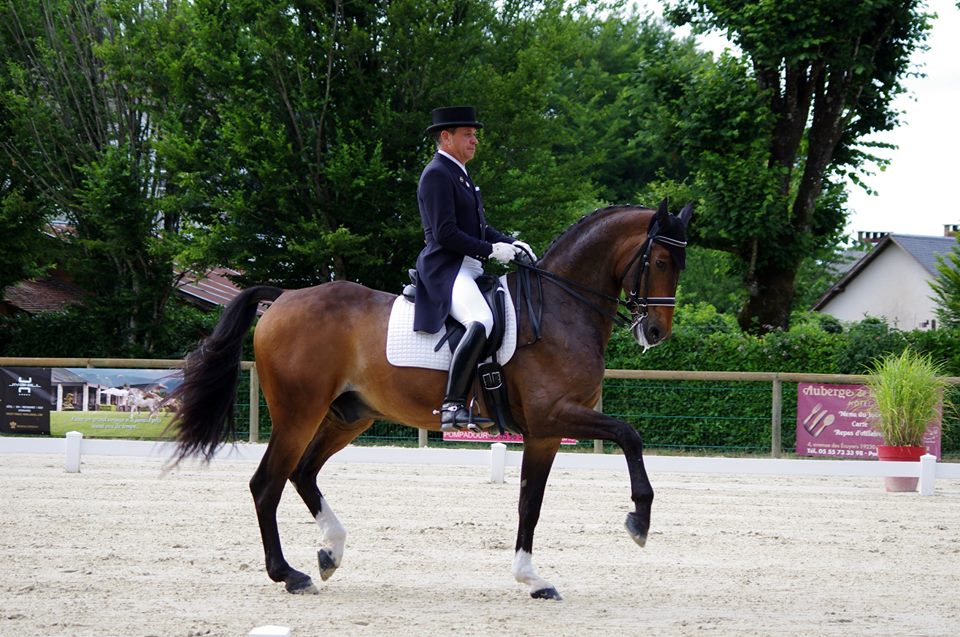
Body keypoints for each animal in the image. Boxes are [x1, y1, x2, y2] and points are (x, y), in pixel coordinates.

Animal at [167, 200, 688, 600]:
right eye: (661, 262)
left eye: (679, 266)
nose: (655, 332)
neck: (561, 309)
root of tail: (285, 297)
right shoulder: (554, 416)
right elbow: (629, 435)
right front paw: (639, 521)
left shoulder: (544, 433)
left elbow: (530, 502)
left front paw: (532, 579)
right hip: (299, 413)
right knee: (267, 483)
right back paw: (290, 574)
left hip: (349, 416)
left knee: (303, 473)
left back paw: (330, 551)